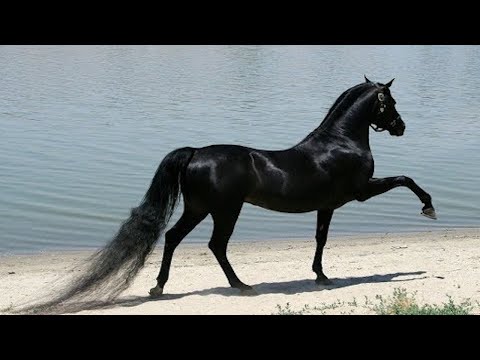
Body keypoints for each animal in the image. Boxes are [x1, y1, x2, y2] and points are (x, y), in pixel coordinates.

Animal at [28, 76, 436, 312]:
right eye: (390, 102)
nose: (400, 126)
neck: (340, 142)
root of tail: (195, 152)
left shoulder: (328, 206)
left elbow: (320, 239)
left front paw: (321, 276)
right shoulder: (361, 192)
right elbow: (406, 178)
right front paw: (429, 208)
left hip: (198, 208)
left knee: (173, 238)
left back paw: (159, 287)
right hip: (225, 210)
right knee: (216, 245)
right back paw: (241, 286)